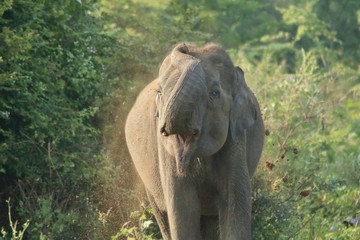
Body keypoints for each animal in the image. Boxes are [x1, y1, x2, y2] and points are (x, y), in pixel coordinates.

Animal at [124, 43, 264, 240]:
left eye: (214, 93)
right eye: (159, 92)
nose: (184, 47)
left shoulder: (236, 140)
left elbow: (235, 202)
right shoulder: (165, 151)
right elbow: (183, 208)